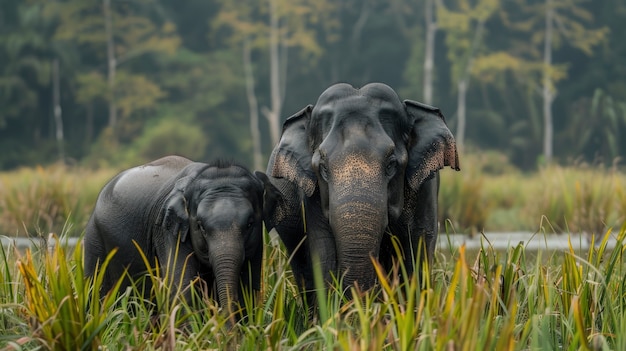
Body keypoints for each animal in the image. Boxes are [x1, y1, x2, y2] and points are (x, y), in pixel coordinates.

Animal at [82, 155, 276, 318]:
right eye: (200, 226)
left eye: (250, 224)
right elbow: (182, 289)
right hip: (94, 239)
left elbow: (247, 290)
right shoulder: (167, 230)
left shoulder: (257, 243)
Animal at [258, 82, 458, 302]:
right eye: (323, 167)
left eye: (391, 164)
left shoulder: (425, 189)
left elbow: (416, 248)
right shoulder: (313, 195)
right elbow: (323, 251)